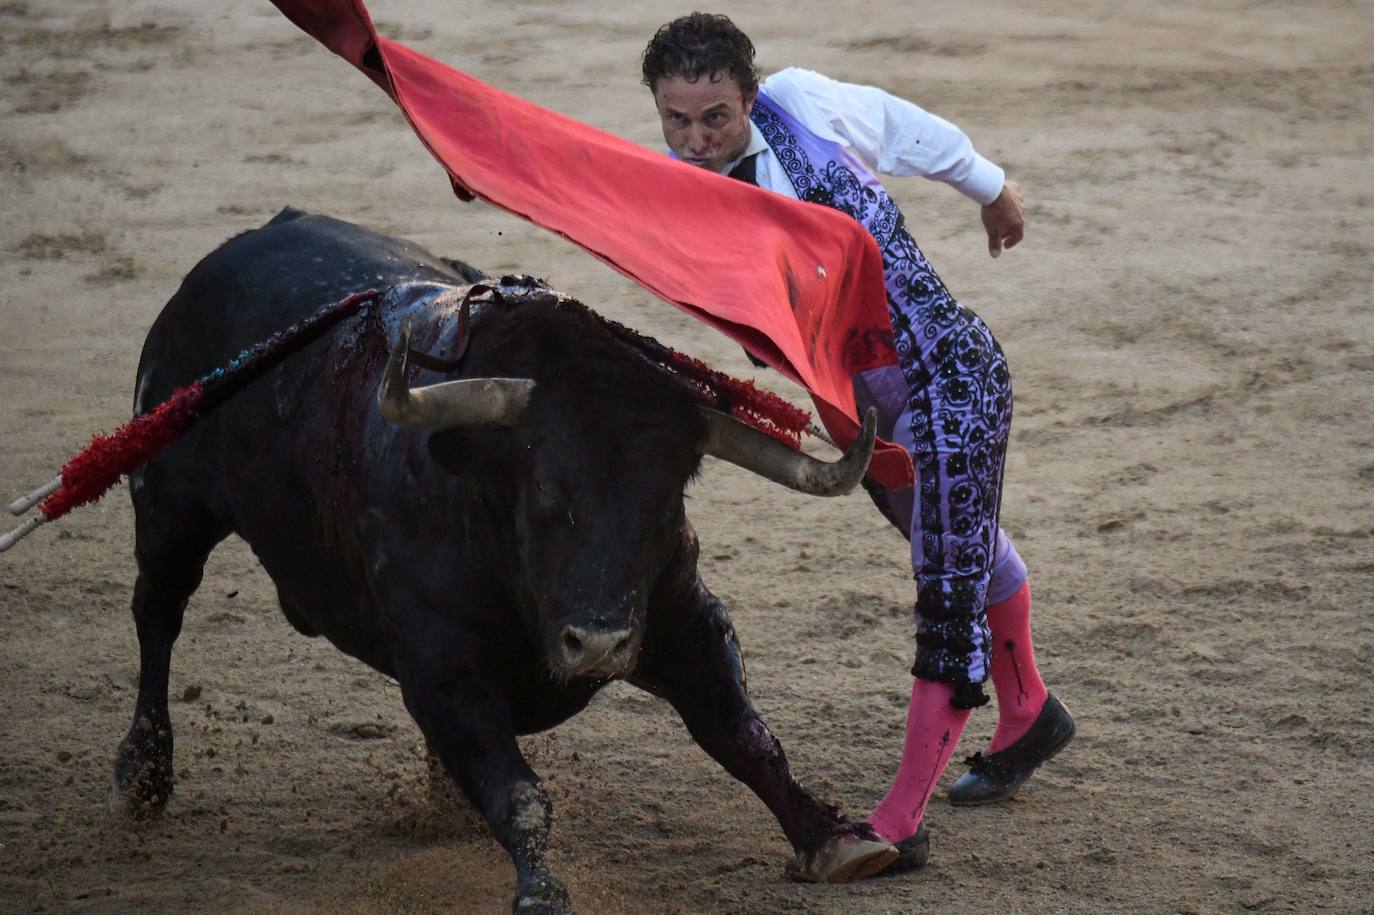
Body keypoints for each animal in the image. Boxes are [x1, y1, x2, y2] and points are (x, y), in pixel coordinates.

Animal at [115, 208, 890, 906]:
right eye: (545, 486)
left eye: (670, 492)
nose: (599, 643)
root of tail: (240, 248)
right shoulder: (442, 663)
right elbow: (518, 792)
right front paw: (541, 888)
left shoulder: (684, 614)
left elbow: (742, 733)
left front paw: (834, 838)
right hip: (169, 505)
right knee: (157, 613)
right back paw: (142, 772)